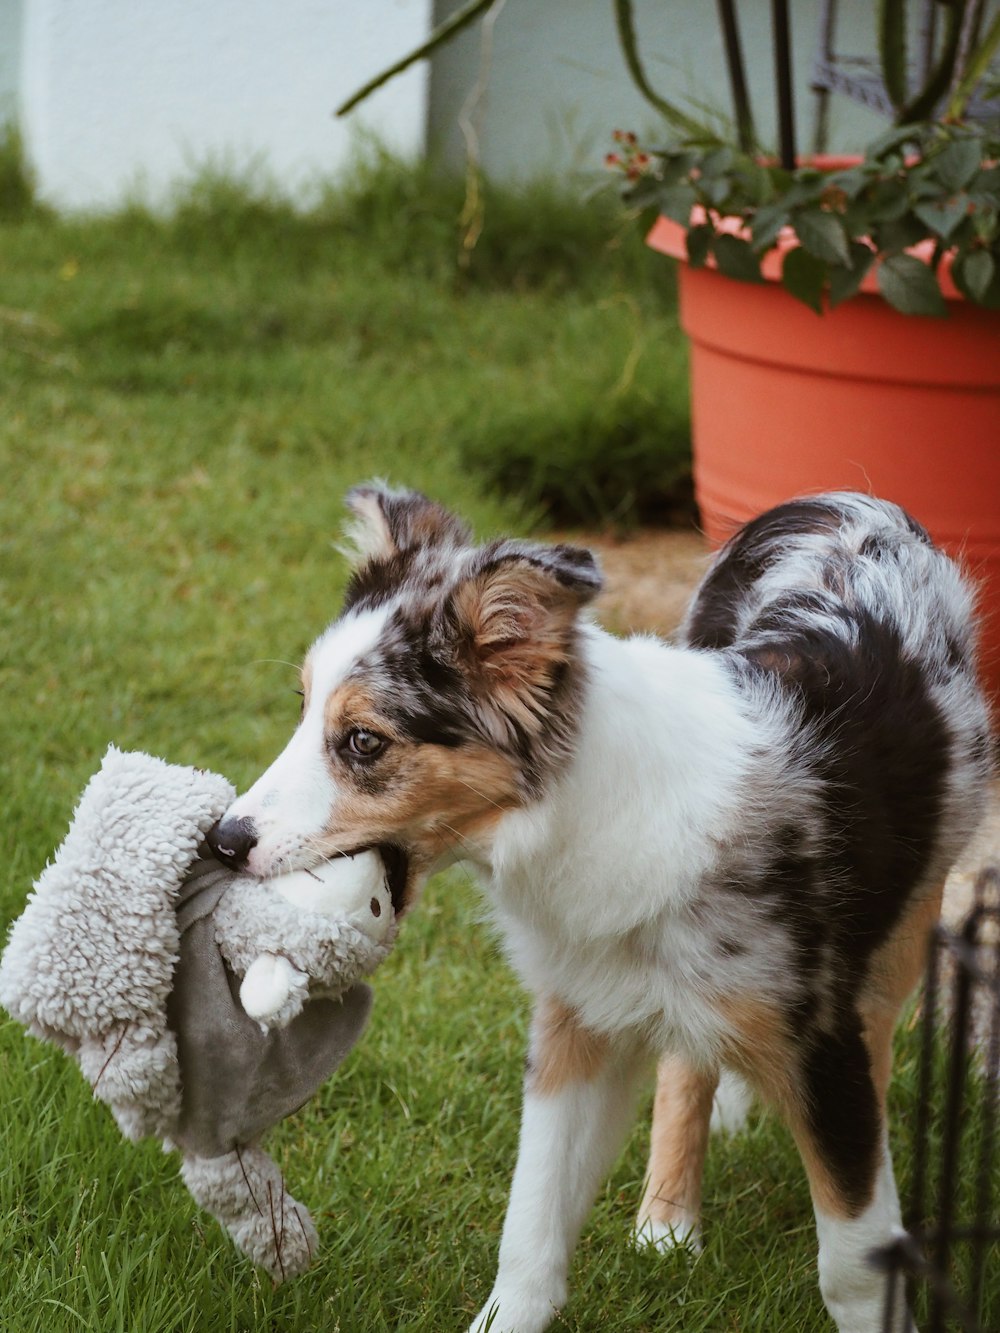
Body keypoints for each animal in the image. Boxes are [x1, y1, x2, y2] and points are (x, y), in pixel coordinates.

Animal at [209, 485, 997, 1333]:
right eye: (302, 709)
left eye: (362, 740)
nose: (222, 840)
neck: (577, 815)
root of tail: (841, 497)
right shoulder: (577, 1018)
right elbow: (530, 1224)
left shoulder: (820, 1041)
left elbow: (851, 1258)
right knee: (686, 1065)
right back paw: (669, 1220)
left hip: (910, 924)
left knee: (873, 1027)